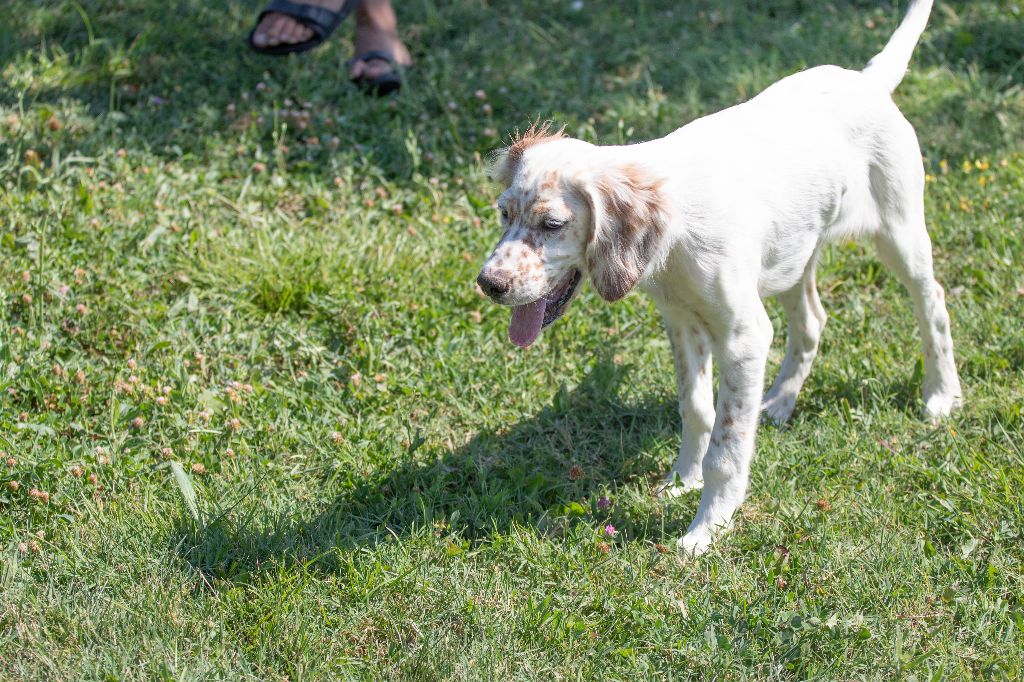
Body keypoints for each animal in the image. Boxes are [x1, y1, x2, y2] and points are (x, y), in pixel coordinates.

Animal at [476, 0, 961, 554]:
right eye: (504, 213)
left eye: (552, 225)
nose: (488, 283)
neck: (672, 240)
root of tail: (867, 80)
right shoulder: (682, 323)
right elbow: (697, 410)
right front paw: (680, 481)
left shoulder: (744, 336)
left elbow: (726, 448)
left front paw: (707, 527)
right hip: (793, 255)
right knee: (811, 321)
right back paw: (779, 402)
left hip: (899, 231)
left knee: (932, 304)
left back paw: (940, 394)